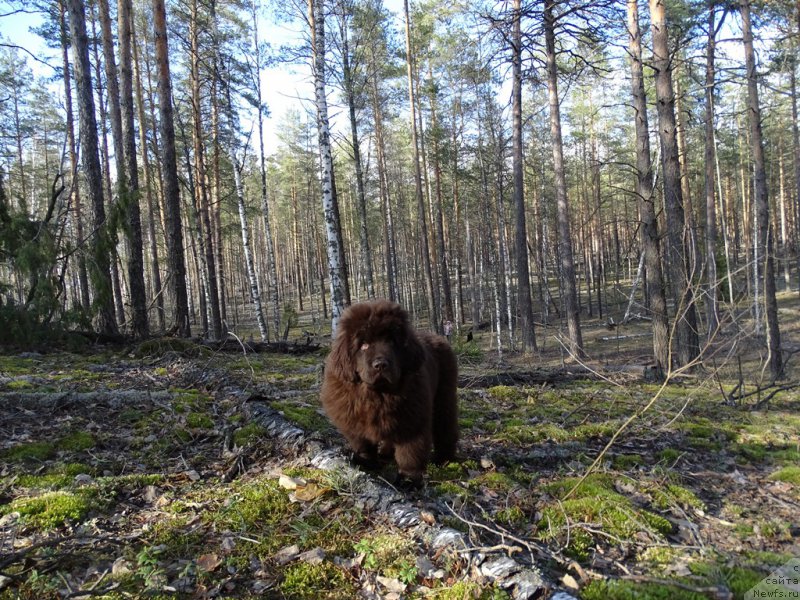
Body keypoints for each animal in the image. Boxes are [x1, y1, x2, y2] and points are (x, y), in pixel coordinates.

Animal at [322, 300, 460, 482]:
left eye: (392, 342)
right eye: (364, 345)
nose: (381, 364)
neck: (377, 394)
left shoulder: (412, 420)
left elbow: (410, 452)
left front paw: (409, 479)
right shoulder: (352, 420)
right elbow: (363, 443)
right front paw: (366, 461)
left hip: (444, 397)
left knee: (445, 427)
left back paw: (444, 459)